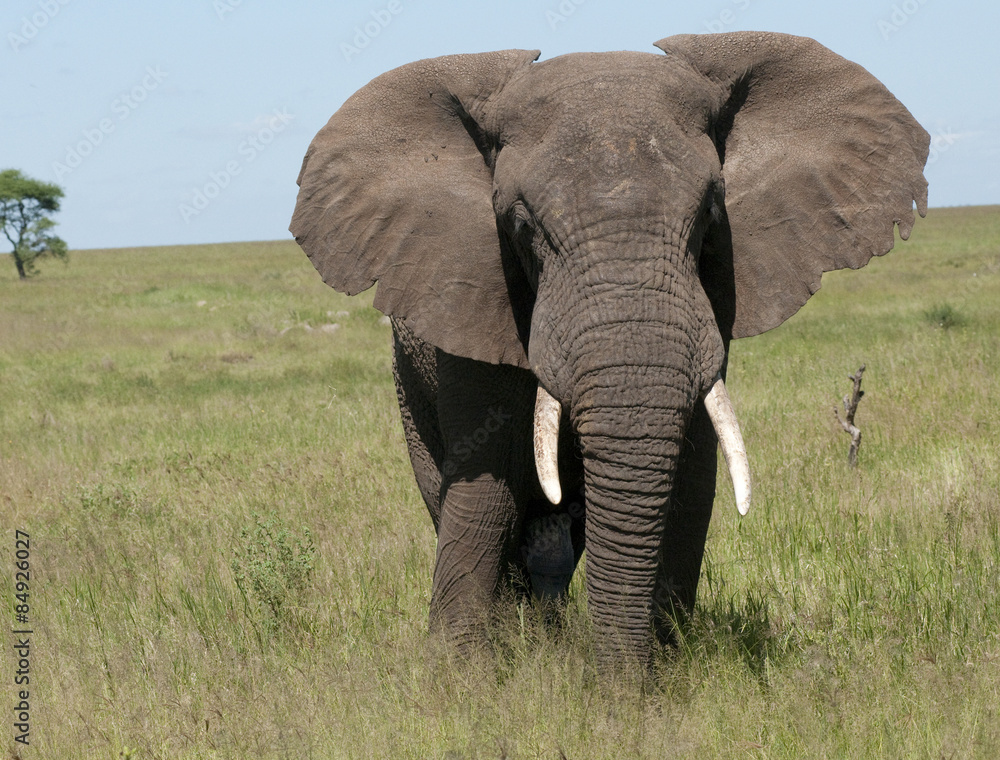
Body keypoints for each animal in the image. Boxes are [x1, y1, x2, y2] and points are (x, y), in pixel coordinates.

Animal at [290, 32, 929, 666]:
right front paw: (460, 674)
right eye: (522, 226)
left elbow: (691, 480)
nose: (617, 686)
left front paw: (666, 661)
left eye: (709, 213)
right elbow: (487, 487)